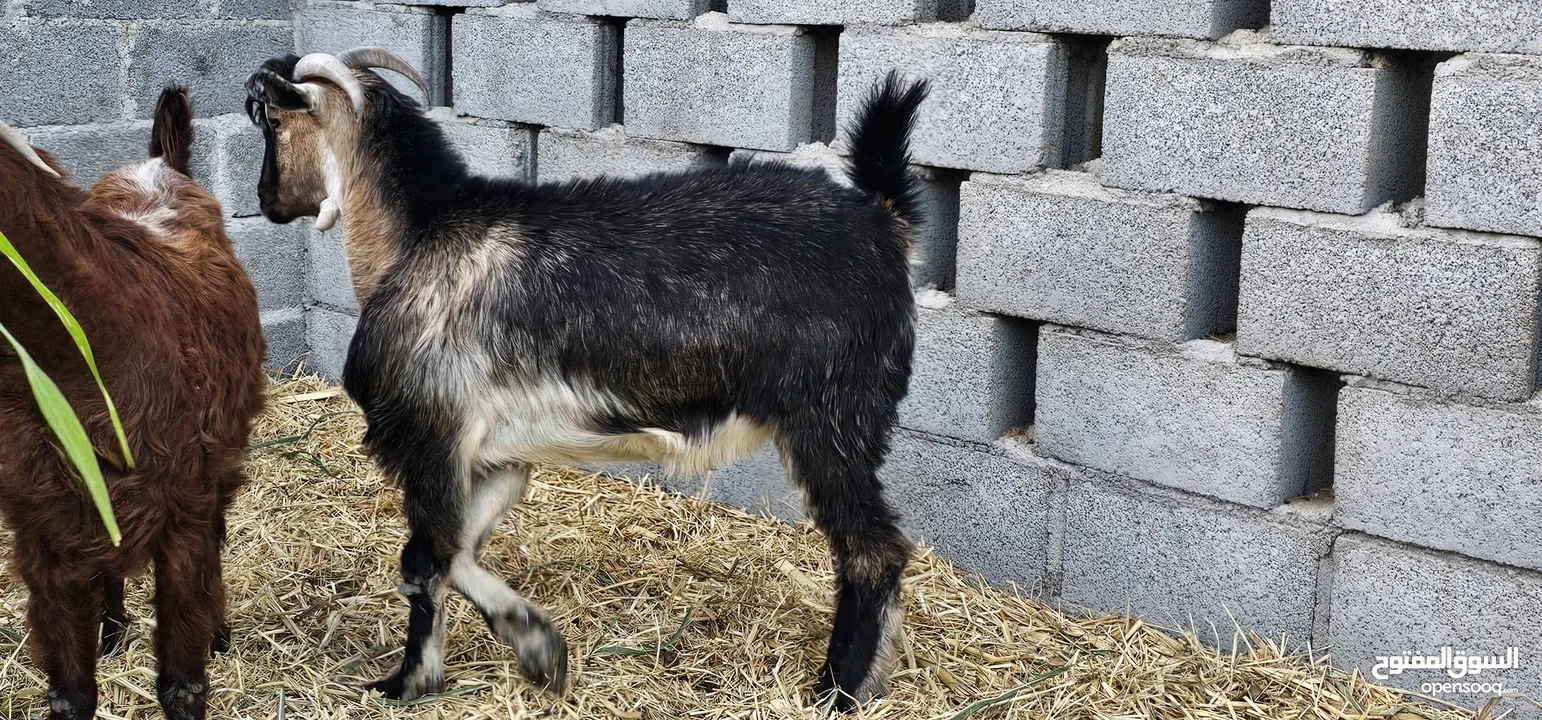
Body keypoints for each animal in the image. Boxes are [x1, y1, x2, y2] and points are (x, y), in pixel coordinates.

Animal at [0, 88, 266, 720]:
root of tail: (158, 165)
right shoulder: (45, 534)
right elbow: (70, 694)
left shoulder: (182, 510)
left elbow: (183, 686)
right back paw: (114, 630)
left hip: (219, 460)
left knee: (217, 533)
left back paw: (218, 632)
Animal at [245, 47, 925, 712]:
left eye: (273, 121)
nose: (267, 201)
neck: (419, 234)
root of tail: (881, 220)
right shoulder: (496, 457)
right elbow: (460, 548)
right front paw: (539, 647)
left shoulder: (427, 434)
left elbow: (425, 560)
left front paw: (407, 681)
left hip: (829, 418)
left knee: (872, 551)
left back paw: (837, 690)